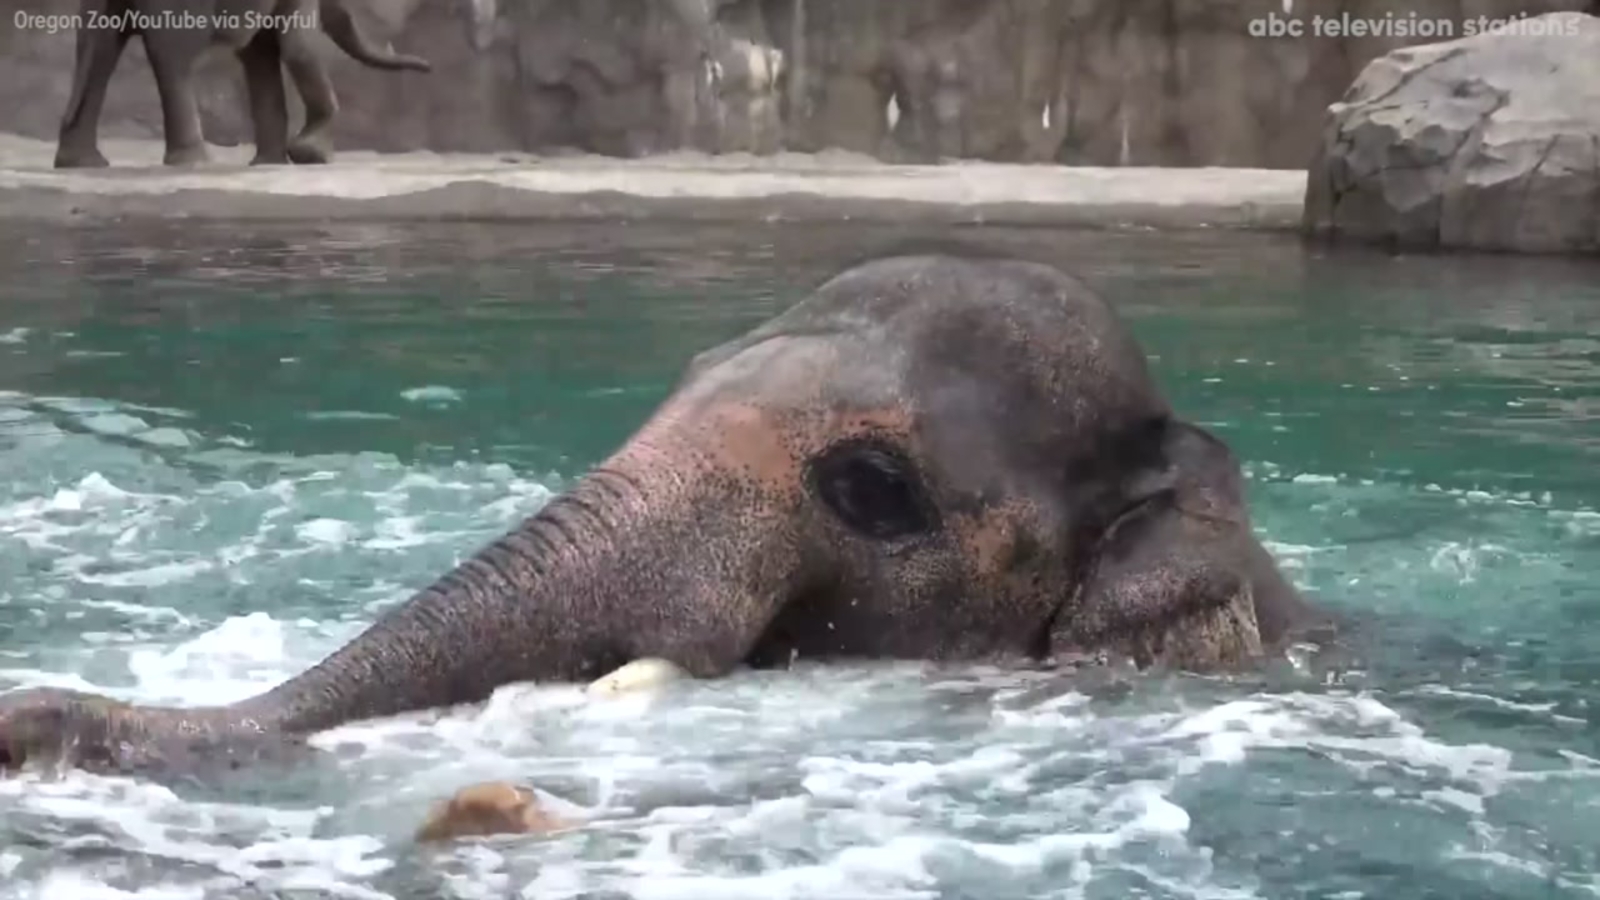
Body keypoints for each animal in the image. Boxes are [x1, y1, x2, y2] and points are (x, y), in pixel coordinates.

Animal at [53, 0, 431, 169]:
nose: (428, 68)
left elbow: (262, 49)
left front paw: (273, 163)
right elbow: (295, 43)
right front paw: (310, 155)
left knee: (101, 43)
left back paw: (83, 164)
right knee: (170, 51)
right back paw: (193, 163)